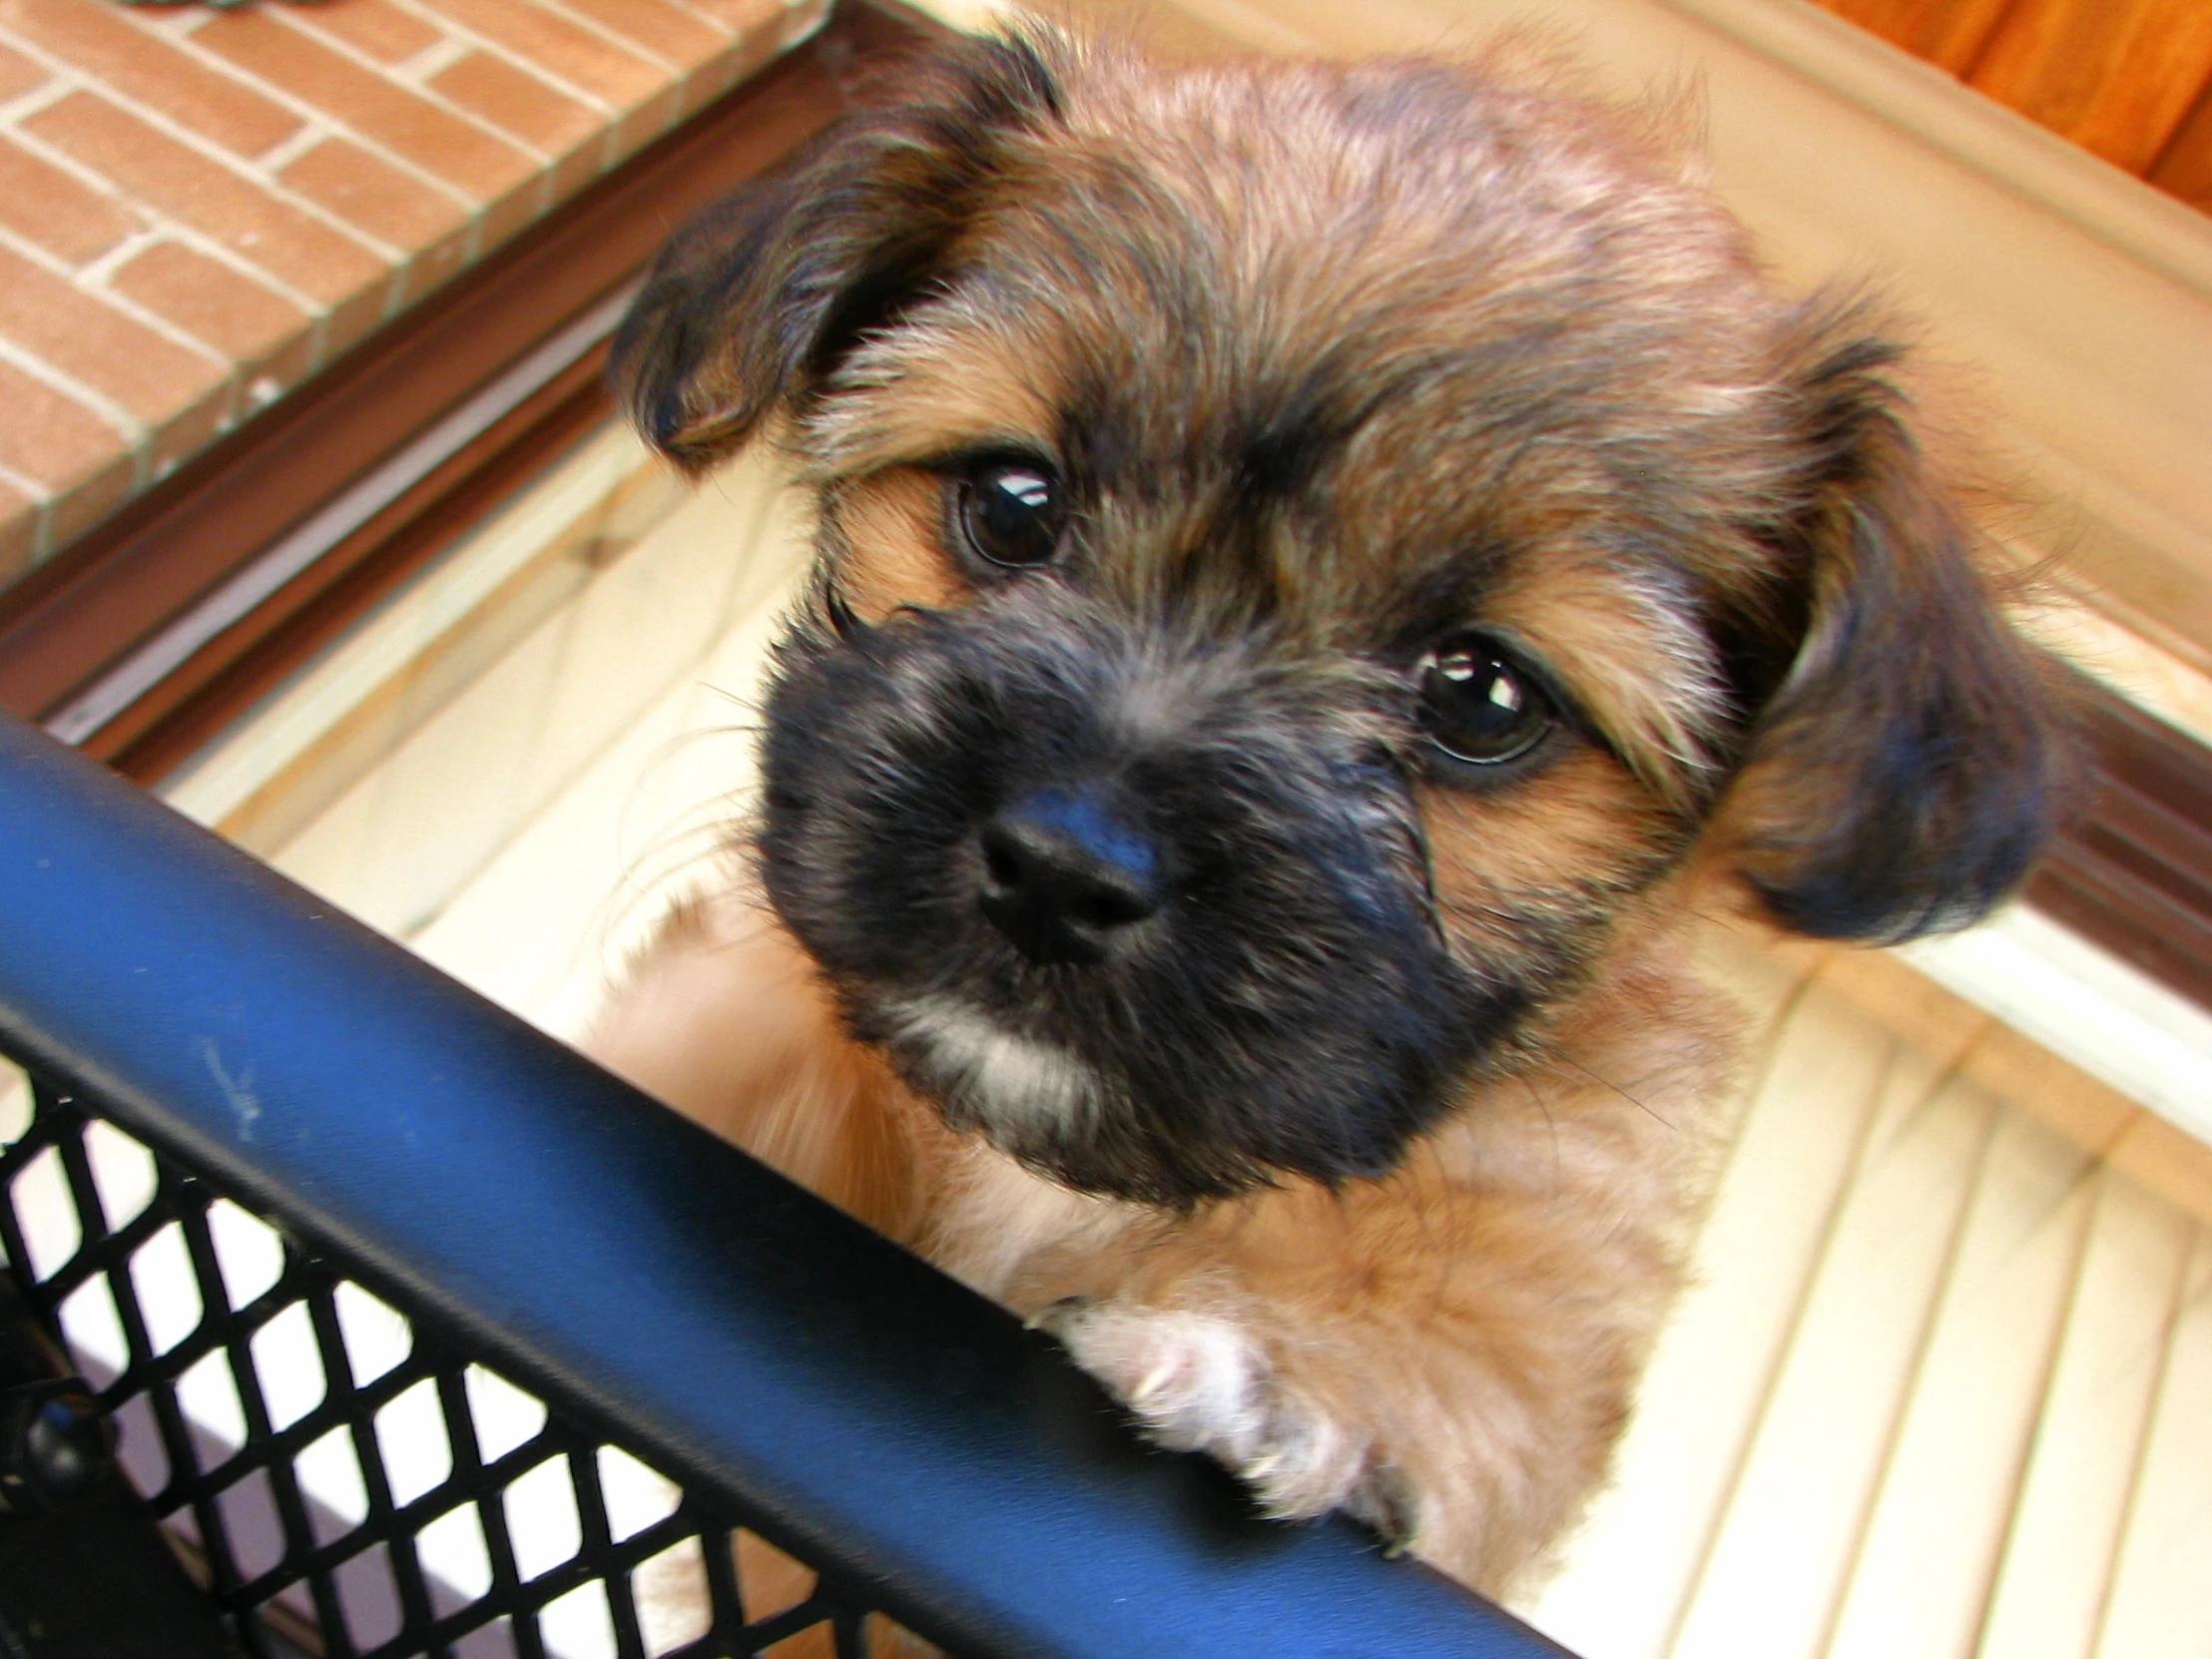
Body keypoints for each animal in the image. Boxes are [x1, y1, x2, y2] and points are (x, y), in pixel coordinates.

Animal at [584, 22, 2052, 1610]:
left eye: (1482, 695)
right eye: (1013, 500)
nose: (1061, 869)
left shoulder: (1535, 1272)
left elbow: (1470, 1362)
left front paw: (1280, 1369)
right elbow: (725, 1048)